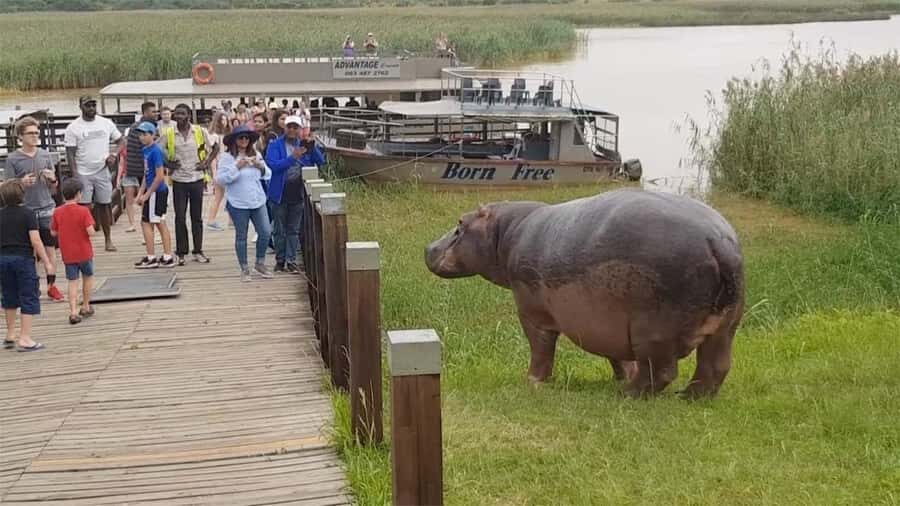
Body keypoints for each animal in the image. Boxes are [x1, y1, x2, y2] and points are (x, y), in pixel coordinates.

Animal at [425, 188, 744, 398]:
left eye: (460, 224)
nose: (428, 247)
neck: (506, 233)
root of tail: (717, 242)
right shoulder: (607, 324)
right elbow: (617, 357)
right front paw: (620, 378)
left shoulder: (533, 313)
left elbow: (540, 349)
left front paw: (532, 382)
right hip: (725, 327)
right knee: (715, 367)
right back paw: (688, 397)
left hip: (653, 330)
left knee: (662, 370)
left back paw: (628, 395)